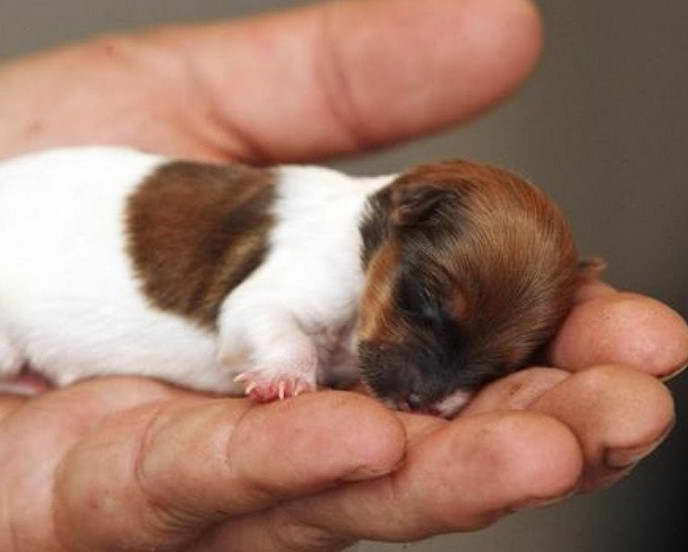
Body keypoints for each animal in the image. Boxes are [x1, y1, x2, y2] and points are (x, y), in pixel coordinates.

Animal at [0, 148, 576, 418]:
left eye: (501, 366)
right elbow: (277, 327)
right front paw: (284, 377)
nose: (422, 403)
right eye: (421, 303)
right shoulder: (280, 289)